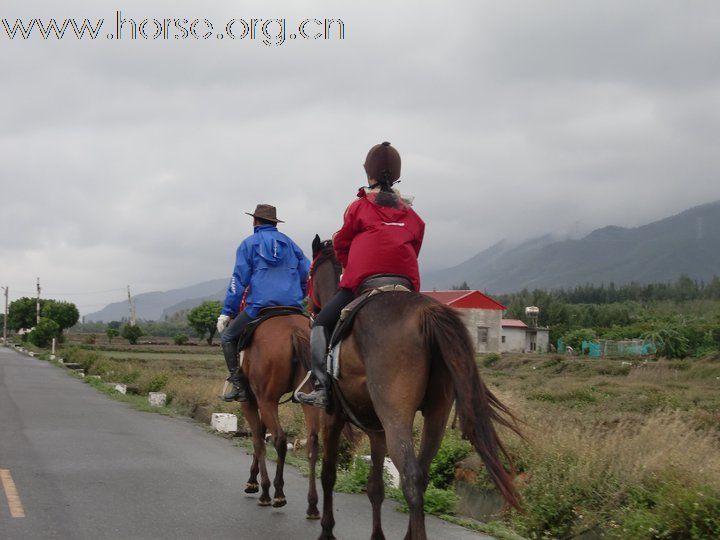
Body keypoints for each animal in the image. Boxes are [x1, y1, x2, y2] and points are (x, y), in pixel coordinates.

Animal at [239, 314, 320, 516]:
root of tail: (294, 329)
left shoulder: (250, 401)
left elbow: (258, 440)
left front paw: (260, 487)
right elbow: (261, 433)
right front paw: (252, 480)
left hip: (267, 400)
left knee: (279, 439)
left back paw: (277, 494)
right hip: (308, 396)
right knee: (313, 442)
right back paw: (312, 504)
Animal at [310, 237, 524, 540]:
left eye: (308, 273)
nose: (311, 306)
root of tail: (426, 313)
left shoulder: (333, 417)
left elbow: (328, 474)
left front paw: (327, 530)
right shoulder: (377, 429)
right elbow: (375, 487)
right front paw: (377, 536)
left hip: (396, 415)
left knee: (410, 477)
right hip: (436, 413)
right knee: (422, 475)